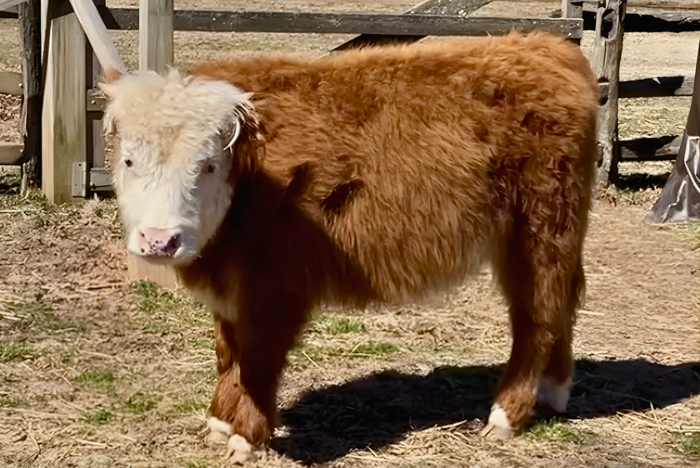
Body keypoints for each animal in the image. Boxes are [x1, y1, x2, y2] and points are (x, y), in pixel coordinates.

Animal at [100, 32, 599, 461]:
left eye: (205, 165)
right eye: (129, 160)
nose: (159, 240)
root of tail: (544, 46)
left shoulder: (276, 287)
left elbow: (258, 358)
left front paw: (246, 437)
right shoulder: (231, 289)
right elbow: (229, 352)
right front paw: (220, 422)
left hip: (540, 233)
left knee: (536, 316)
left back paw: (507, 415)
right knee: (560, 304)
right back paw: (553, 393)